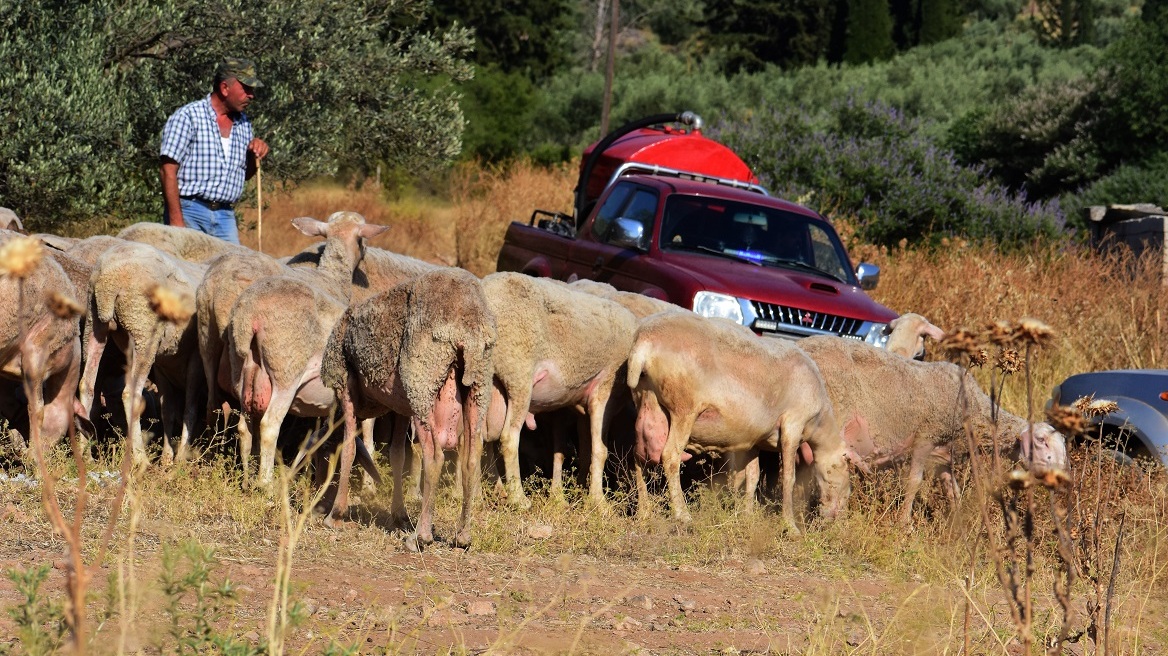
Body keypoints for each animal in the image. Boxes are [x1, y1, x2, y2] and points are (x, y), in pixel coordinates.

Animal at [630, 308, 850, 527]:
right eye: (847, 480)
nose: (835, 519)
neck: (819, 422)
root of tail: (644, 341)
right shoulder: (793, 424)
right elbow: (788, 478)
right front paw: (790, 525)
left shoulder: (753, 440)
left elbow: (753, 476)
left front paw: (747, 515)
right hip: (683, 408)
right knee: (670, 456)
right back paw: (682, 515)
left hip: (647, 401)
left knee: (639, 456)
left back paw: (643, 513)